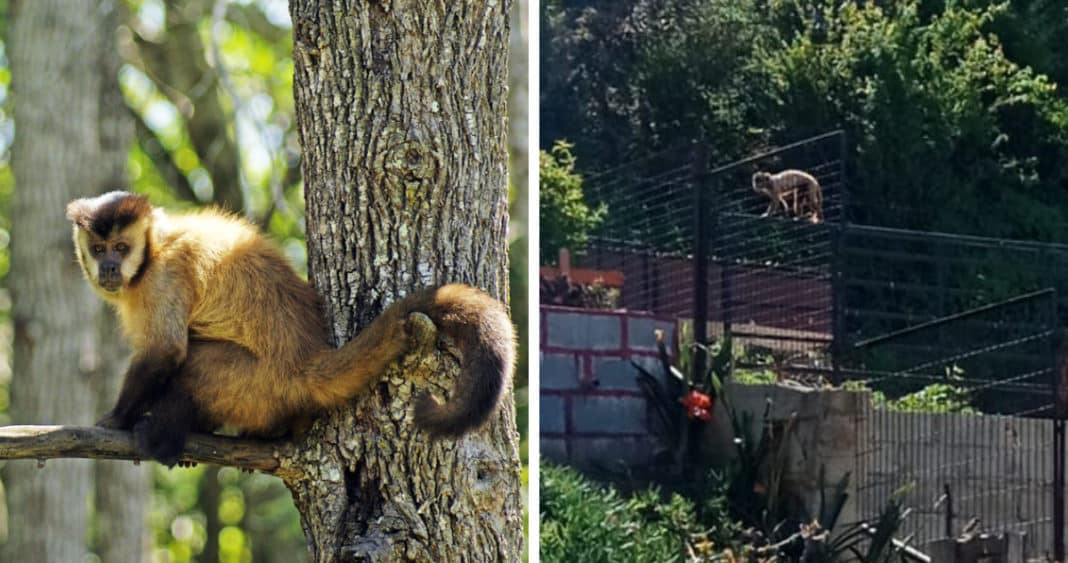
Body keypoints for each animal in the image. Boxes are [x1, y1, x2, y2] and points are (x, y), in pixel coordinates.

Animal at [66, 191, 516, 465]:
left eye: (121, 248)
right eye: (99, 249)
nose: (109, 267)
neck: (154, 252)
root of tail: (305, 360)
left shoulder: (163, 277)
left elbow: (167, 352)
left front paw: (116, 420)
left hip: (258, 384)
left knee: (195, 363)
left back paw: (165, 435)